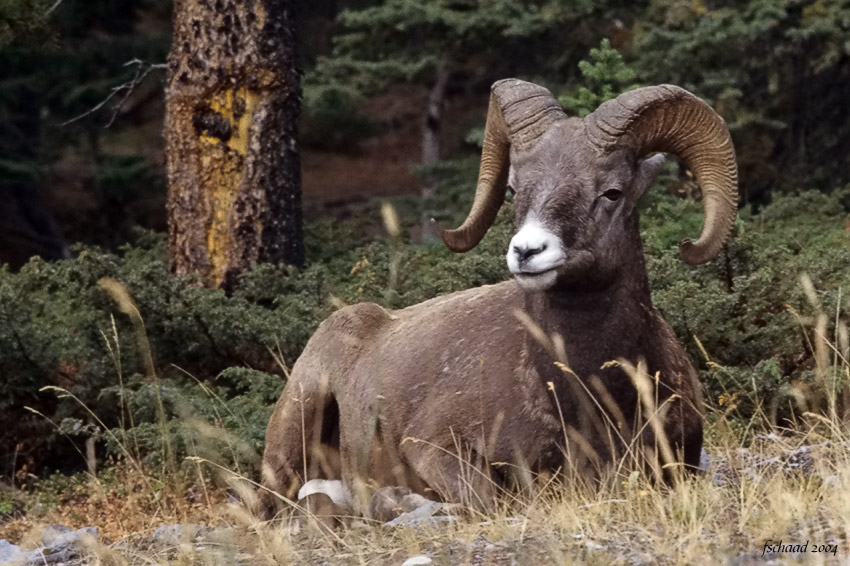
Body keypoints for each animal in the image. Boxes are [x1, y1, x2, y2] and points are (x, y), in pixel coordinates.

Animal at [260, 79, 736, 516]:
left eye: (612, 192)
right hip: (297, 420)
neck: (589, 398)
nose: (527, 251)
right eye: (513, 189)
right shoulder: (433, 448)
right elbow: (490, 500)